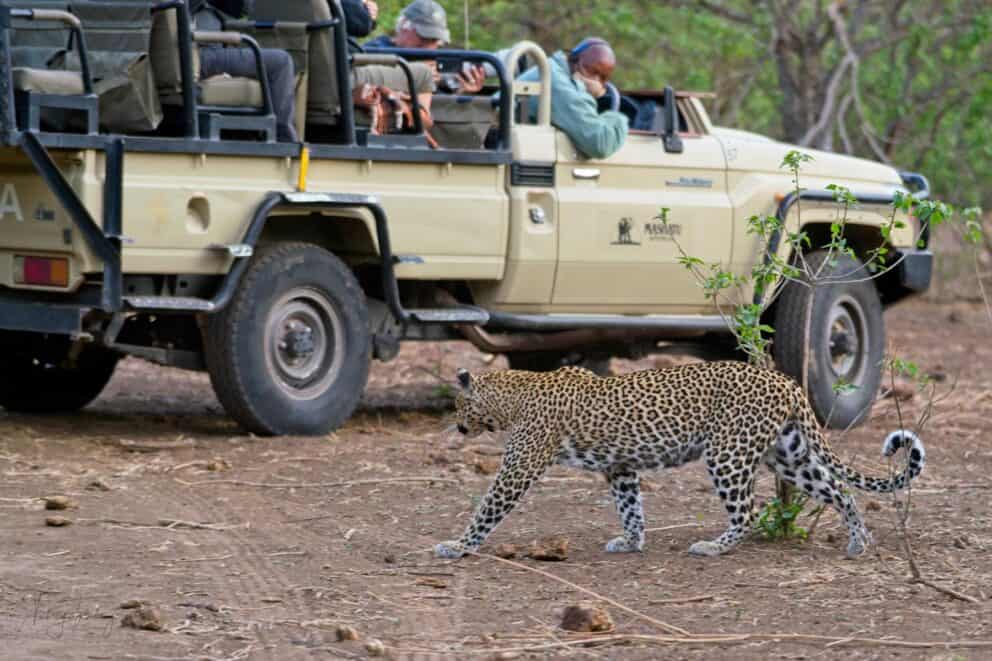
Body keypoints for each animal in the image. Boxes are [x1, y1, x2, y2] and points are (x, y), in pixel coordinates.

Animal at [435, 361, 925, 560]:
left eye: (458, 406)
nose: (457, 428)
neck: (512, 397)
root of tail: (785, 381)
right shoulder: (620, 468)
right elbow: (631, 508)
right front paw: (631, 542)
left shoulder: (521, 466)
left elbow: (487, 508)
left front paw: (457, 546)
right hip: (787, 455)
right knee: (839, 489)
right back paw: (859, 541)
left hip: (728, 453)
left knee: (747, 511)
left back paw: (713, 547)